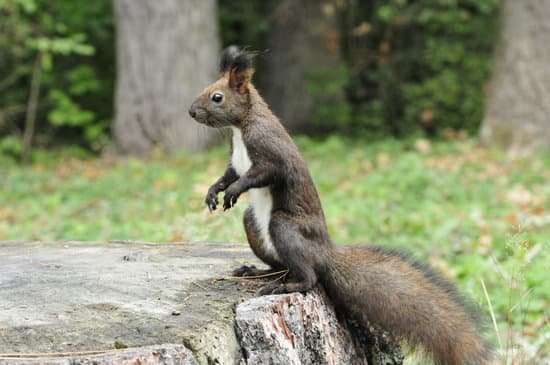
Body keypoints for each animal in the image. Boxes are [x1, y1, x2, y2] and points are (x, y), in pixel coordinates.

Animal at [190, 47, 496, 364]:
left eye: (217, 97)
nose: (191, 111)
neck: (240, 128)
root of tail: (324, 253)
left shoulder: (271, 151)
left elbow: (259, 174)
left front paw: (234, 191)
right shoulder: (235, 161)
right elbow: (229, 174)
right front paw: (213, 192)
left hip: (284, 226)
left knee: (308, 277)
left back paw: (284, 285)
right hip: (254, 224)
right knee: (280, 264)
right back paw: (256, 272)